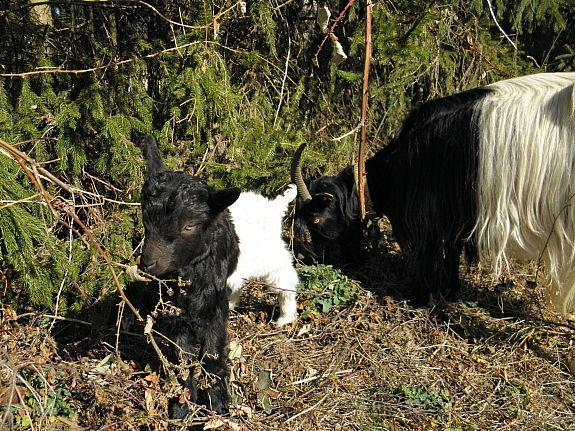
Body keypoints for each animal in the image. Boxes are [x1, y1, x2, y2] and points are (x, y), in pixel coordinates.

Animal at [139, 137, 300, 416]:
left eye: (189, 226)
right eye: (144, 217)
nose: (147, 262)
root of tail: (273, 206)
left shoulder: (213, 311)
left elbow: (212, 354)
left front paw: (218, 405)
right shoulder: (178, 314)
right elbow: (182, 357)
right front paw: (181, 407)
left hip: (271, 256)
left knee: (285, 277)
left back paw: (285, 317)